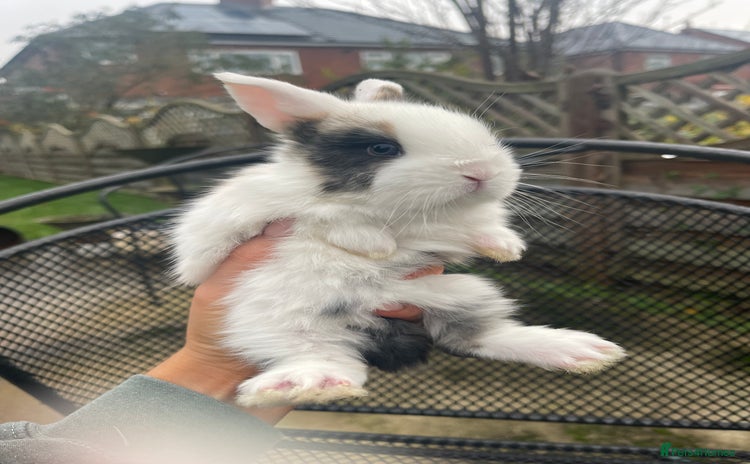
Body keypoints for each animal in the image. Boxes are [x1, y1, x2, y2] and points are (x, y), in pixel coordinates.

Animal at [171, 73, 626, 407]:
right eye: (382, 148)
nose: (481, 172)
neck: (408, 216)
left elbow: (473, 226)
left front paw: (505, 247)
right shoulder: (229, 218)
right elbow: (321, 214)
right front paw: (373, 244)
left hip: (464, 292)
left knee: (476, 338)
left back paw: (580, 351)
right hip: (277, 323)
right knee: (326, 357)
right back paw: (309, 384)